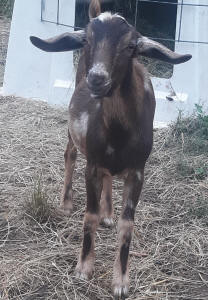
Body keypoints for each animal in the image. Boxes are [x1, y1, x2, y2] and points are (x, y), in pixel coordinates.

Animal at [30, 1, 191, 298]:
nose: (96, 78)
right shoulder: (92, 165)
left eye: (131, 46)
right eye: (87, 40)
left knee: (108, 178)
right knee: (70, 154)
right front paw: (83, 269)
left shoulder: (138, 171)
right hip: (74, 131)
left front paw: (121, 282)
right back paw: (66, 203)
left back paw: (108, 213)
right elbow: (89, 216)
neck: (118, 132)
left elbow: (127, 225)